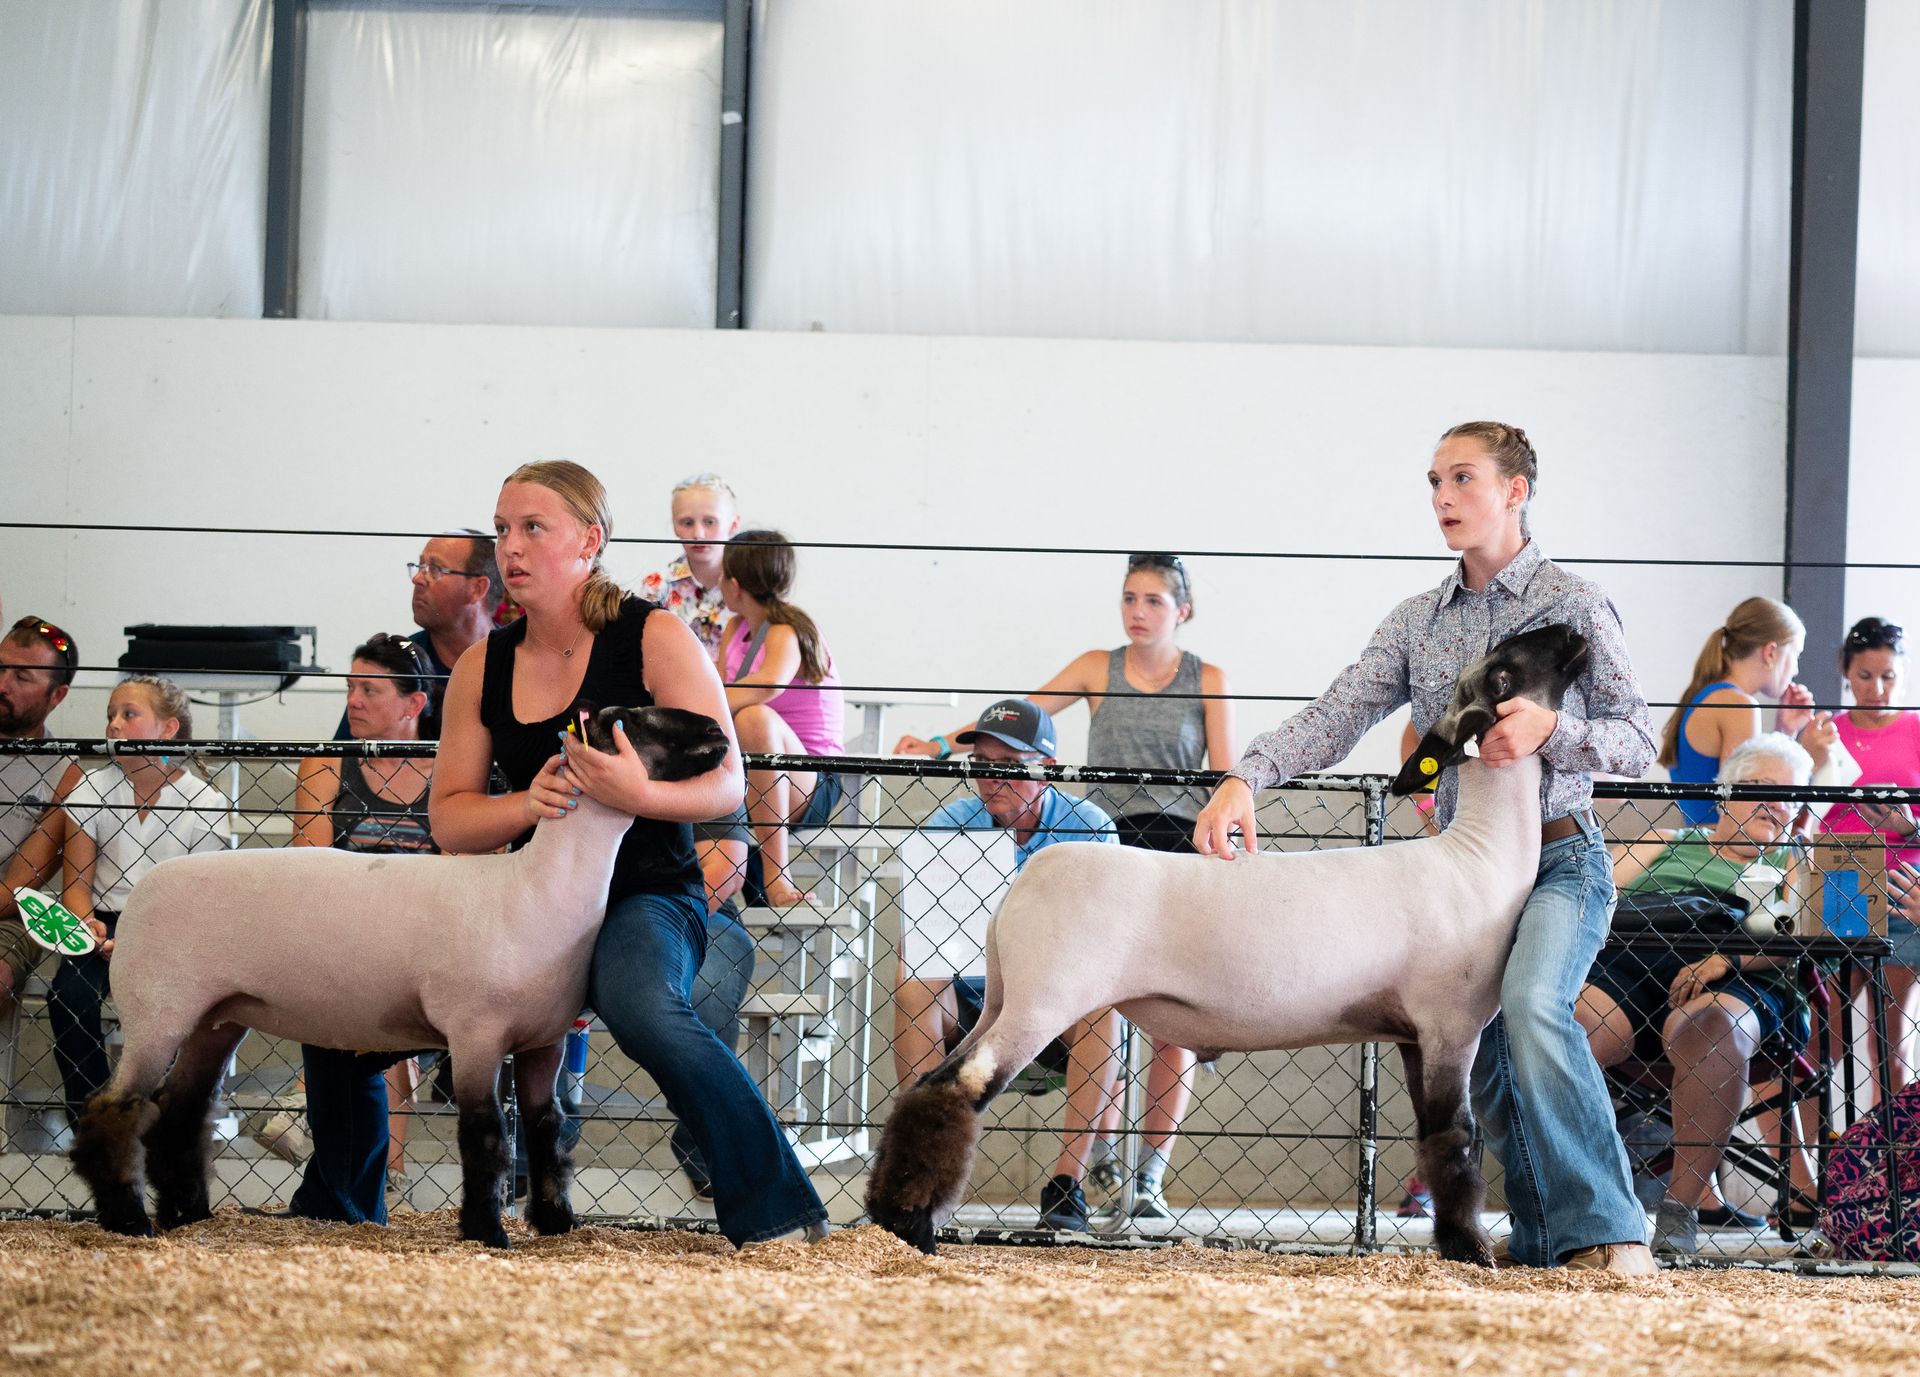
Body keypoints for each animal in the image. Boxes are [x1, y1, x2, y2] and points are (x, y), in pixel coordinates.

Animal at [70, 704, 730, 1248]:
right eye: (634, 718)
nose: (717, 730)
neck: (538, 887)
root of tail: (140, 894)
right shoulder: (475, 1031)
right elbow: (488, 1135)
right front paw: (488, 1232)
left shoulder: (544, 1038)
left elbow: (547, 1130)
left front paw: (555, 1223)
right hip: (159, 1008)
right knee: (113, 1109)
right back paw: (129, 1221)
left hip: (217, 1017)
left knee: (177, 1114)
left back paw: (188, 1216)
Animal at [866, 623, 1593, 1265]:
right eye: (1504, 672)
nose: (1574, 635)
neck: (1478, 858)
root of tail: (1021, 884)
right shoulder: (1448, 1023)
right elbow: (1455, 1139)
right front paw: (1470, 1249)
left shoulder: (1415, 1033)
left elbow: (1435, 1137)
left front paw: (1454, 1243)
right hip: (1044, 998)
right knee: (956, 1087)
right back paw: (910, 1226)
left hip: (1002, 995)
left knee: (929, 1083)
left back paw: (888, 1214)